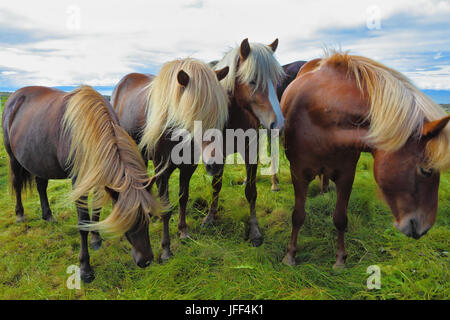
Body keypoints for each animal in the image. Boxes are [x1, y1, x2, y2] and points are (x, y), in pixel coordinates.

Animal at [1, 85, 159, 282]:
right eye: (126, 219)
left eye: (149, 215)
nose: (146, 260)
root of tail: (14, 97)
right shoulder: (78, 183)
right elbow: (83, 221)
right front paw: (85, 269)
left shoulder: (100, 180)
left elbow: (96, 210)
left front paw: (96, 239)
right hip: (13, 159)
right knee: (17, 185)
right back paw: (20, 215)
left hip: (39, 161)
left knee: (41, 185)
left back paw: (48, 216)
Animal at [109, 58, 229, 262]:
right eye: (194, 116)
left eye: (219, 115)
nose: (216, 165)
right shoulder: (162, 170)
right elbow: (166, 208)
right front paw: (166, 249)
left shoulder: (188, 168)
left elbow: (183, 198)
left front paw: (183, 231)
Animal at [282, 52, 450, 268]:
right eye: (426, 170)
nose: (425, 228)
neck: (322, 115)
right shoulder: (298, 173)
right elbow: (298, 216)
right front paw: (290, 255)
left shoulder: (347, 175)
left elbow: (340, 218)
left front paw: (340, 259)